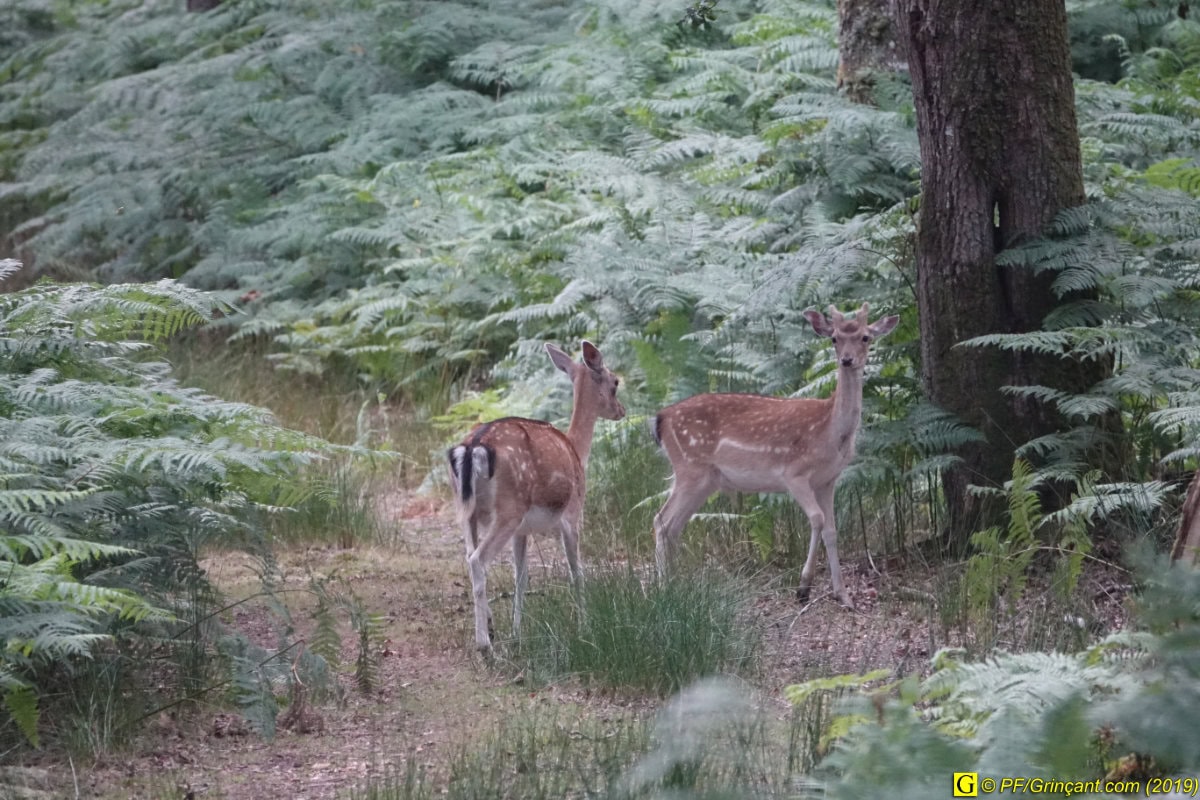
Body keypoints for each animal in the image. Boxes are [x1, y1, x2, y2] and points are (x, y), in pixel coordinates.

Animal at [446, 340, 624, 652]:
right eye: (615, 382)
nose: (621, 410)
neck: (577, 451)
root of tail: (473, 447)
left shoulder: (522, 530)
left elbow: (522, 577)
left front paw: (517, 631)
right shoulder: (572, 513)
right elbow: (576, 572)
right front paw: (586, 626)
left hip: (466, 509)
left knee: (469, 555)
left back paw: (491, 626)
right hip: (509, 508)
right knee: (478, 560)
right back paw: (484, 645)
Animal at [652, 303, 897, 609]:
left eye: (865, 337)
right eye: (834, 338)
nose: (847, 360)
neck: (830, 434)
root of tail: (661, 419)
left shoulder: (828, 480)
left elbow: (831, 530)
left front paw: (843, 595)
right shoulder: (793, 473)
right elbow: (817, 519)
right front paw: (803, 588)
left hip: (705, 479)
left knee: (674, 525)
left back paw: (673, 586)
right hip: (690, 468)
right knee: (661, 520)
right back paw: (663, 590)